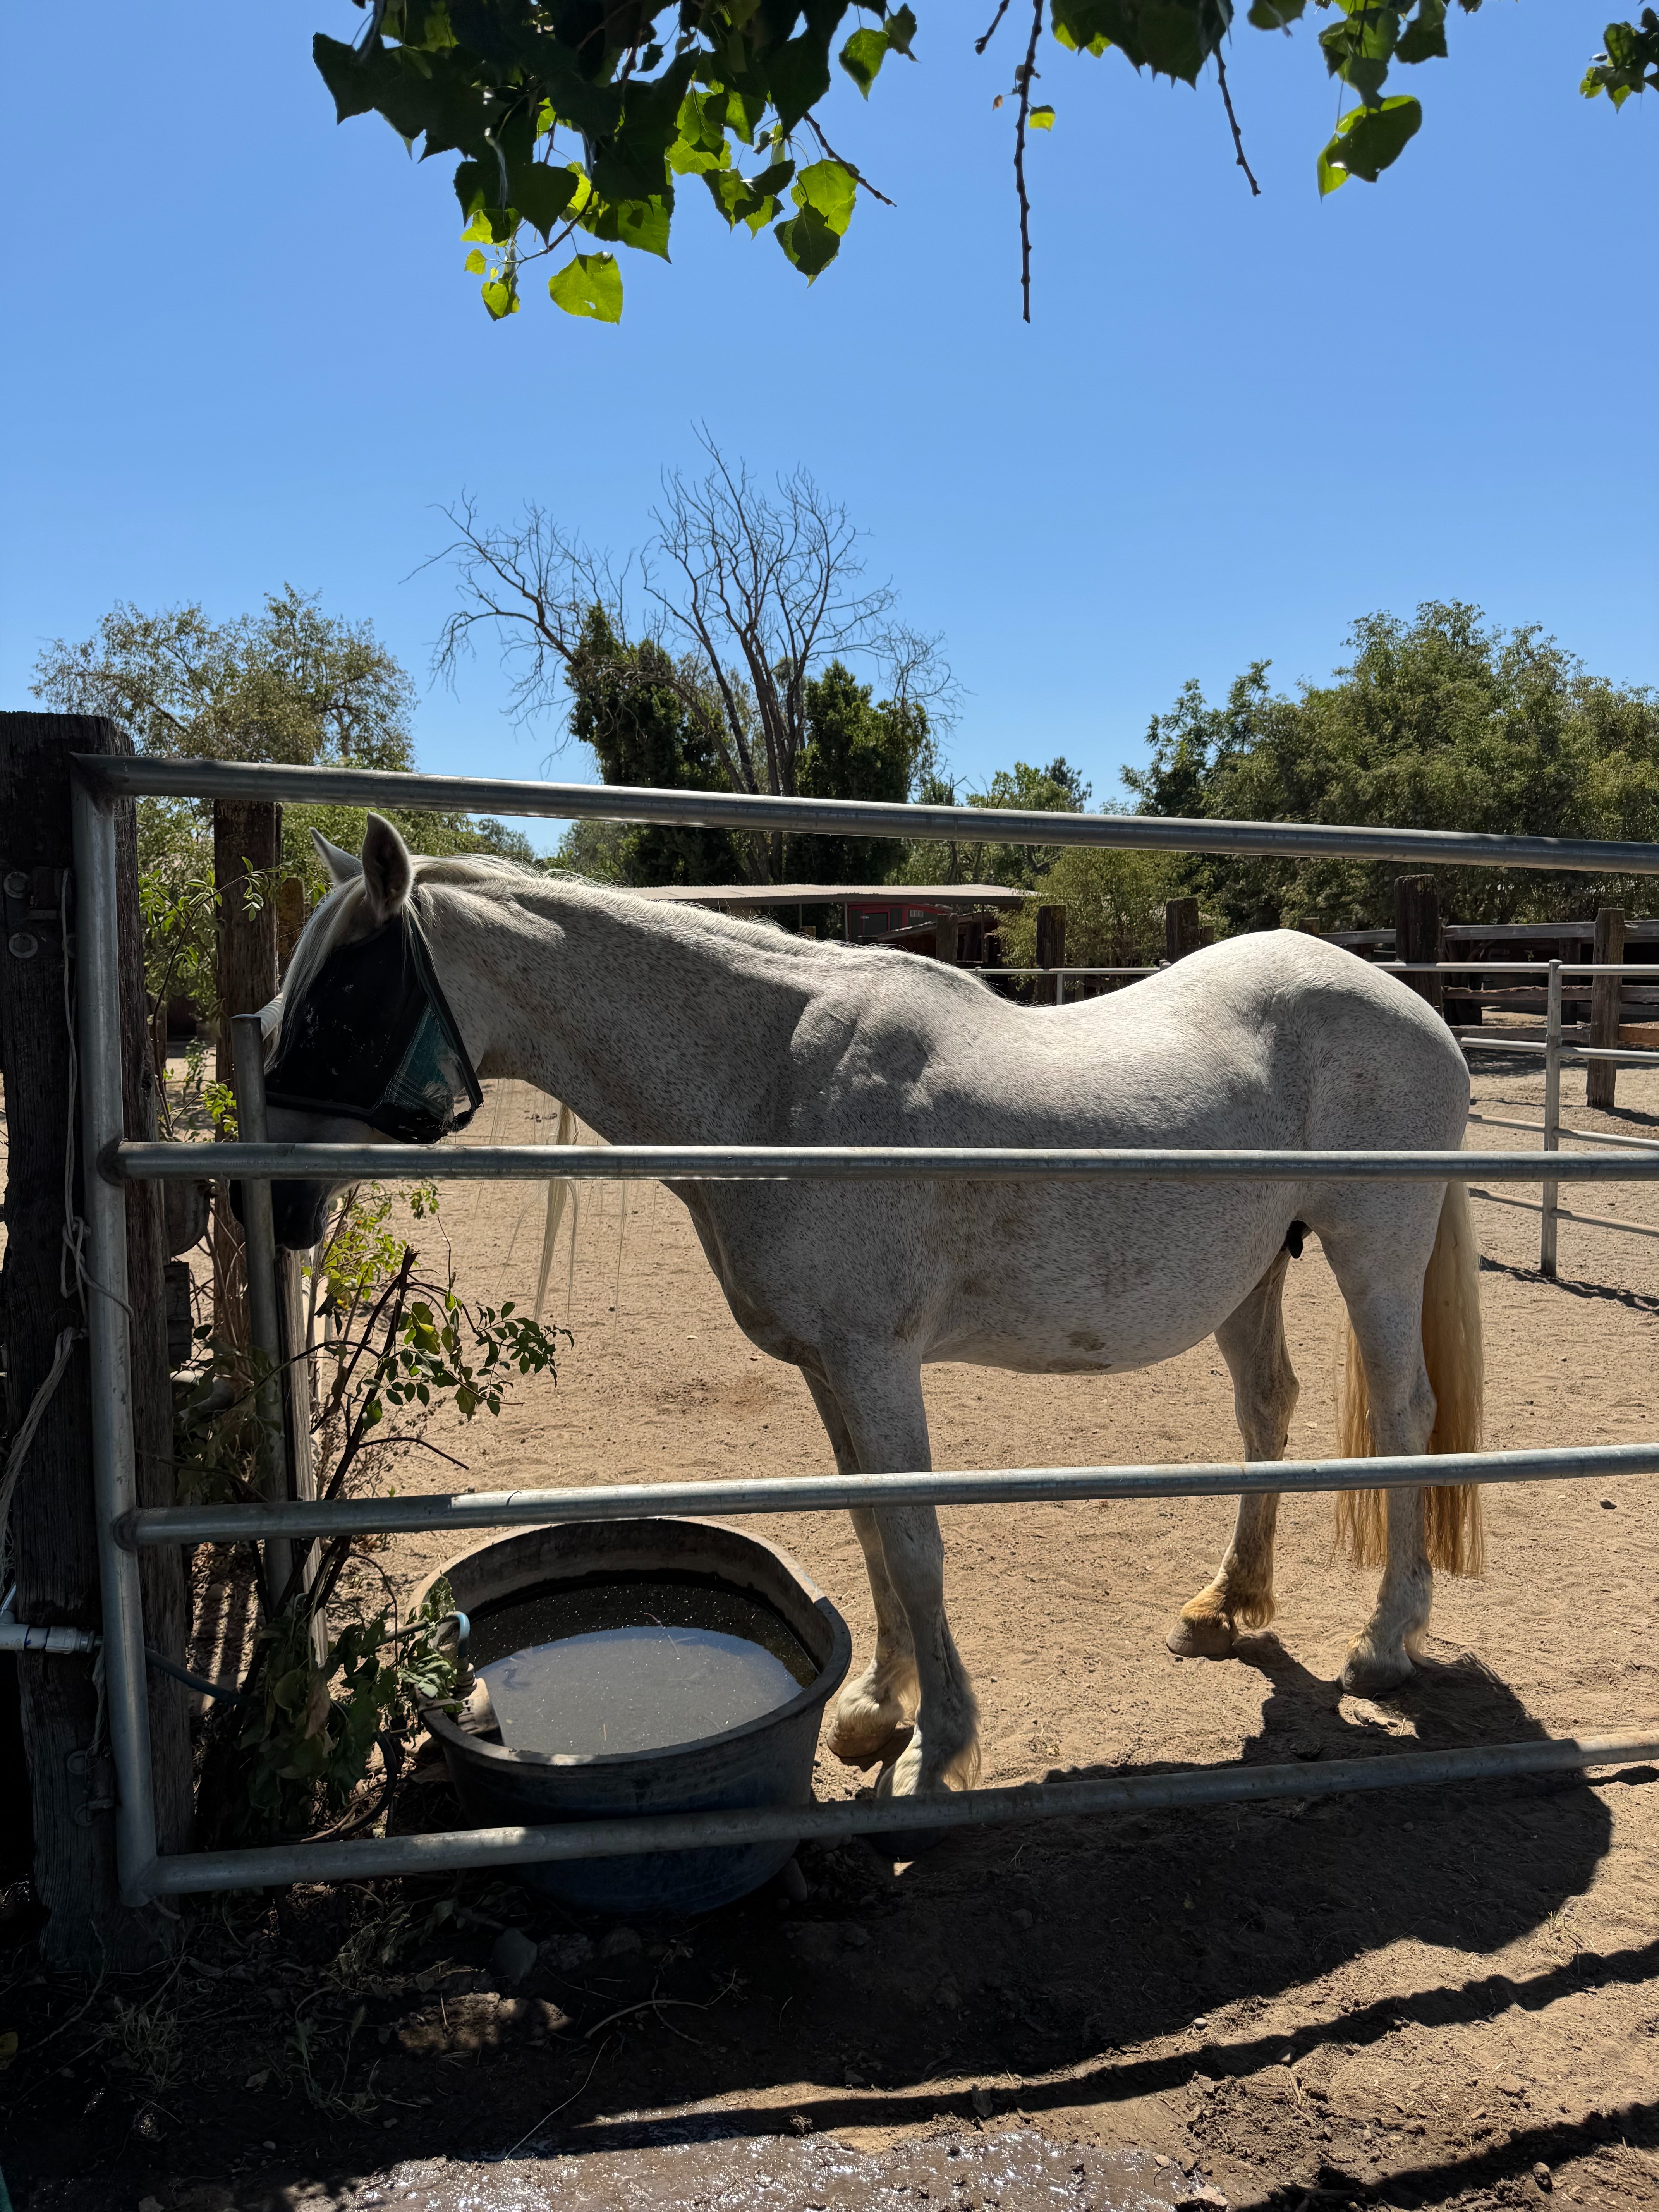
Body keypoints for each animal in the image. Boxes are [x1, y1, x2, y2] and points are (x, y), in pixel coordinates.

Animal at [256, 813, 1484, 1808]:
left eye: (341, 1005)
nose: (277, 1206)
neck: (777, 1084)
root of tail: (1411, 1006)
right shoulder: (827, 1367)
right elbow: (867, 1527)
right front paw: (877, 1712)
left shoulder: (876, 1361)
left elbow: (915, 1541)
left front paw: (938, 1751)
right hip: (1253, 1273)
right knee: (1266, 1408)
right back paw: (1226, 1608)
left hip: (1372, 1249)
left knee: (1407, 1417)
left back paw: (1383, 1647)